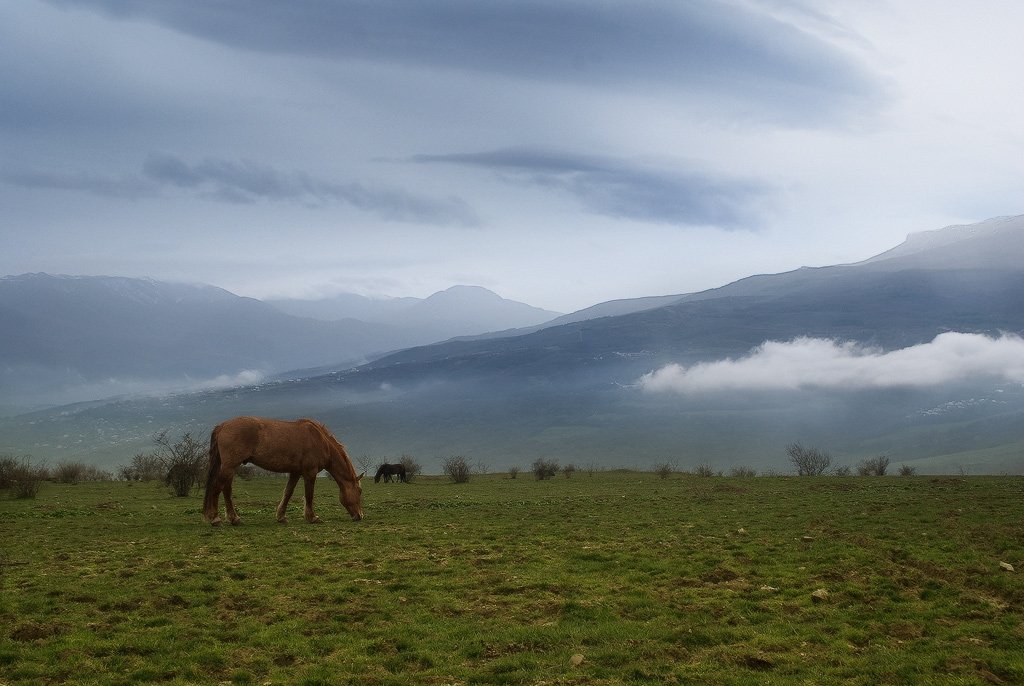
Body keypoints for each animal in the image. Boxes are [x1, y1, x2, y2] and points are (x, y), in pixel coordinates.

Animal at [202, 419, 364, 528]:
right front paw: (312, 517)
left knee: (226, 490)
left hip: (230, 467)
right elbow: (309, 495)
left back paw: (234, 518)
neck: (320, 441)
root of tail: (223, 426)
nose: (360, 515)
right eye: (360, 491)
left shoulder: (295, 472)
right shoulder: (309, 473)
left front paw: (281, 516)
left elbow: (288, 493)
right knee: (217, 488)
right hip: (229, 466)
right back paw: (215, 518)